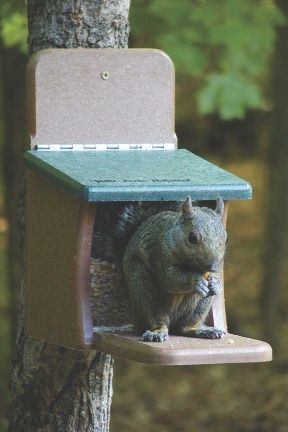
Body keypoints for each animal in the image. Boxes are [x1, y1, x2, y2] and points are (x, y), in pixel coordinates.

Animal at [92, 196, 227, 340]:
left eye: (225, 238)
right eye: (192, 237)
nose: (213, 266)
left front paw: (216, 283)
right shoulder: (159, 254)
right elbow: (168, 279)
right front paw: (196, 281)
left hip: (200, 305)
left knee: (184, 327)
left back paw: (201, 330)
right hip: (142, 289)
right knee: (156, 318)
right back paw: (157, 333)